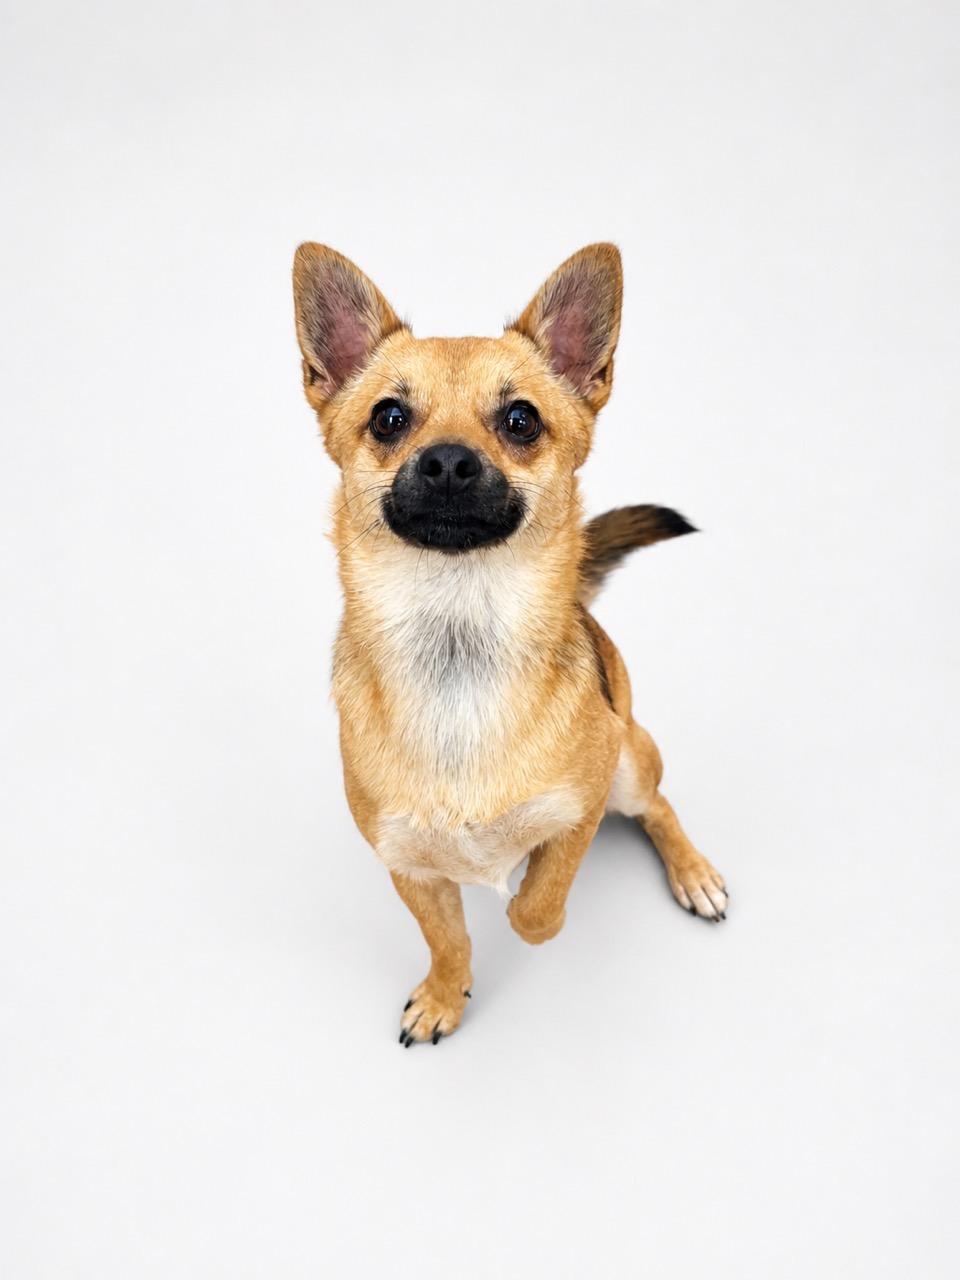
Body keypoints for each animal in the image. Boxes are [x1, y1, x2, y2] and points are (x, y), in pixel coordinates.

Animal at [292, 242, 728, 1045]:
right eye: (388, 417)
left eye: (521, 419)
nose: (447, 462)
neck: (458, 637)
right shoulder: (408, 866)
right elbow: (449, 938)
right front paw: (445, 993)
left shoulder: (583, 805)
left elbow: (536, 909)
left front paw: (523, 885)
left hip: (631, 761)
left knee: (657, 807)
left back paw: (692, 873)